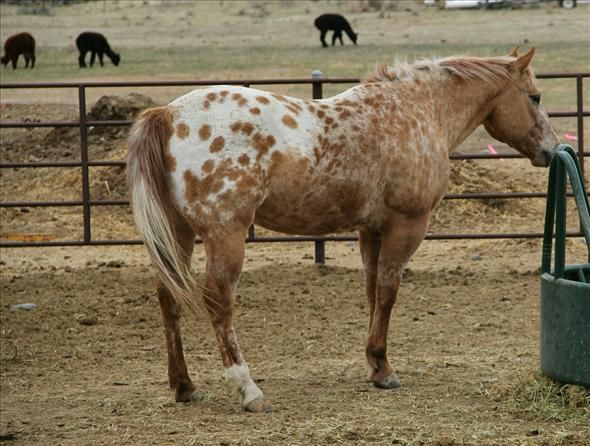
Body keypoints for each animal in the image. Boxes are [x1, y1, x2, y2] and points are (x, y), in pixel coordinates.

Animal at [126, 48, 560, 412]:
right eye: (535, 97)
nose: (552, 150)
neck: (418, 110)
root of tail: (167, 114)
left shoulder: (371, 230)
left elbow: (372, 293)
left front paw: (375, 363)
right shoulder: (407, 225)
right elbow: (388, 290)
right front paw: (384, 369)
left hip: (178, 234)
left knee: (168, 297)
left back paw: (183, 385)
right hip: (225, 235)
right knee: (218, 301)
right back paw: (249, 390)